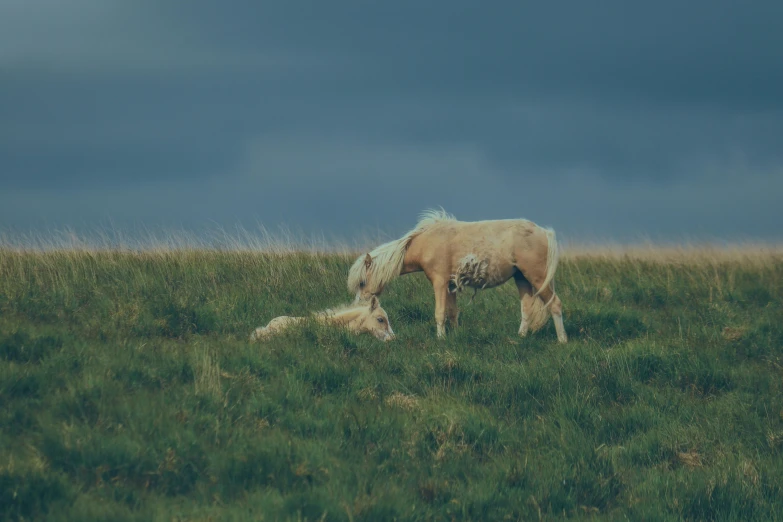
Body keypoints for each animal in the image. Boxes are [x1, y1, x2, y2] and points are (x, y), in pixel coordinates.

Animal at [346, 207, 568, 342]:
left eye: (362, 282)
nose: (359, 306)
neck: (425, 242)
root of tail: (544, 232)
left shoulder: (439, 282)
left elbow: (440, 312)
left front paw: (440, 338)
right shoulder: (451, 285)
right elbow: (453, 312)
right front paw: (455, 334)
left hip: (537, 278)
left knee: (555, 304)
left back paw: (562, 340)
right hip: (521, 278)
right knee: (527, 308)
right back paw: (521, 336)